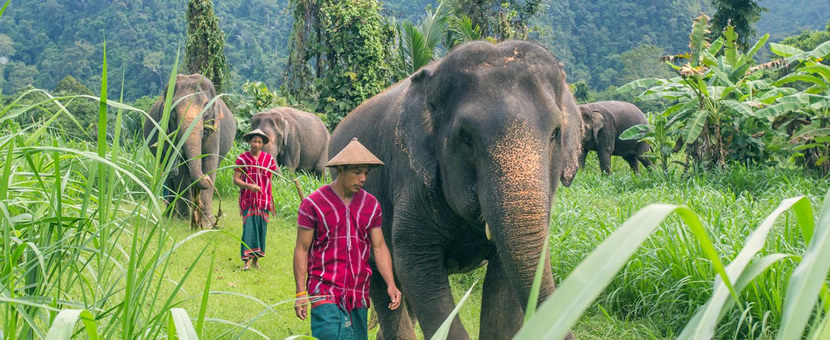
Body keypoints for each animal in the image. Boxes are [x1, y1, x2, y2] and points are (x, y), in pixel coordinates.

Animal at [144, 74, 237, 228]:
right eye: (173, 109)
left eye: (206, 106)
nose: (205, 179)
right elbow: (181, 169)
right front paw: (185, 220)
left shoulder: (214, 130)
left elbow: (210, 162)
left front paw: (207, 223)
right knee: (169, 177)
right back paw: (171, 216)